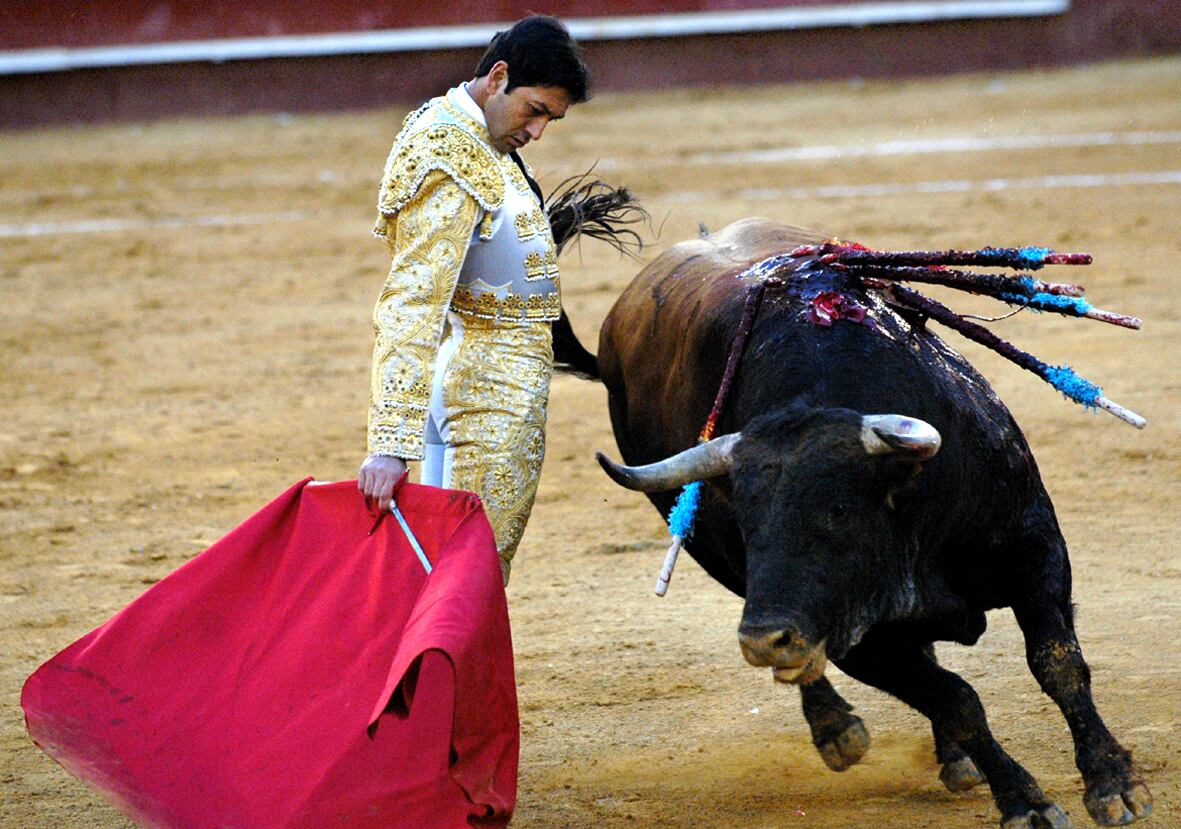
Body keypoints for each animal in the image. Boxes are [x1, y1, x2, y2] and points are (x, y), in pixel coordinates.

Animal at [576, 219, 1157, 829]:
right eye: (745, 523)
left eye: (838, 511)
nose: (762, 640)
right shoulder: (854, 638)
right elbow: (957, 700)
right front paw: (1026, 802)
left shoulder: (1034, 548)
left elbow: (1057, 664)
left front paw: (1115, 784)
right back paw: (837, 730)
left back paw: (953, 759)